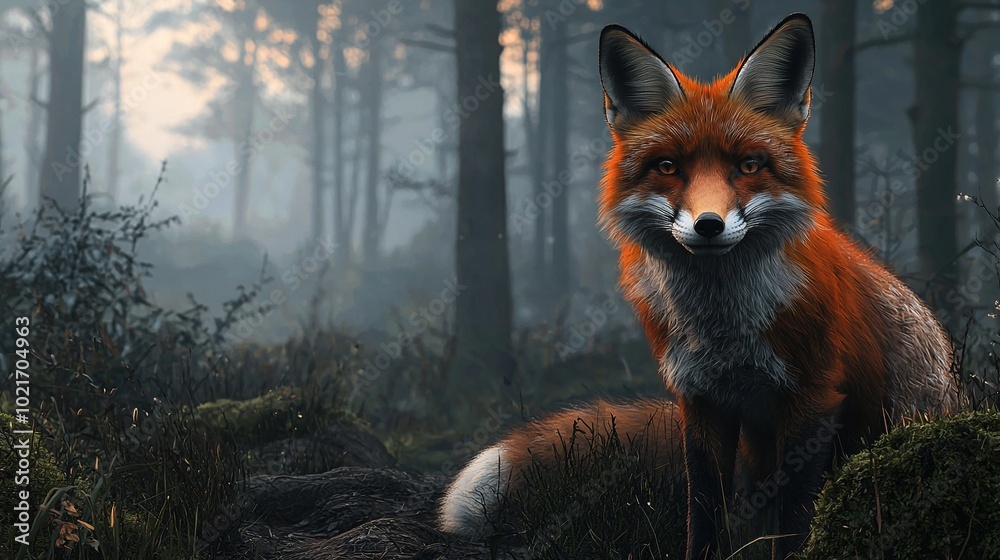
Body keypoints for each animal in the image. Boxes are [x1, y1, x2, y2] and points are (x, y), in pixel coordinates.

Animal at [439, 13, 958, 560]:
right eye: (669, 167)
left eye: (748, 165)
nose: (709, 225)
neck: (723, 329)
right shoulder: (701, 398)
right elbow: (704, 510)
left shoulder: (813, 397)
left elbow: (795, 518)